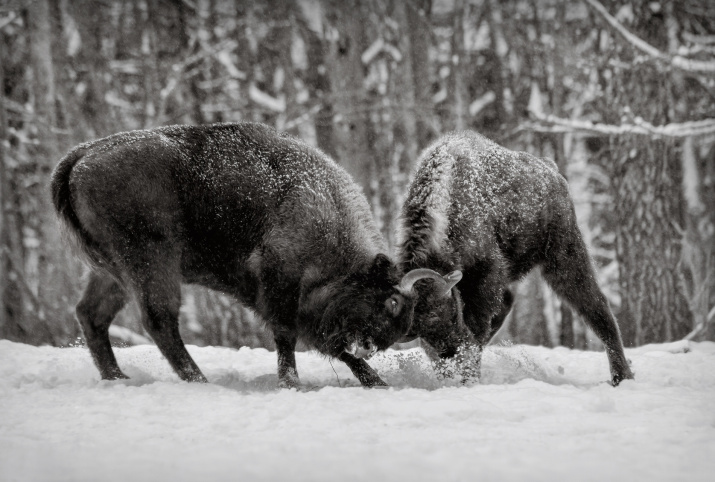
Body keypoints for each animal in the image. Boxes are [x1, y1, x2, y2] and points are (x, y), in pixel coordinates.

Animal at [50, 122, 456, 390]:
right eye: (391, 301)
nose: (369, 346)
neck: (324, 210)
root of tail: (82, 156)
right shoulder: (279, 287)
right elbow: (286, 336)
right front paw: (291, 381)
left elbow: (328, 345)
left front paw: (375, 380)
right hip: (151, 261)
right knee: (158, 320)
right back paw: (199, 380)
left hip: (112, 273)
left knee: (91, 315)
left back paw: (117, 377)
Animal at [400, 130, 636, 386]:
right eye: (417, 327)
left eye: (442, 313)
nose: (450, 352)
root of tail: (552, 171)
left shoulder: (485, 275)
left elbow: (478, 322)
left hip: (564, 257)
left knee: (596, 307)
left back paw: (621, 376)